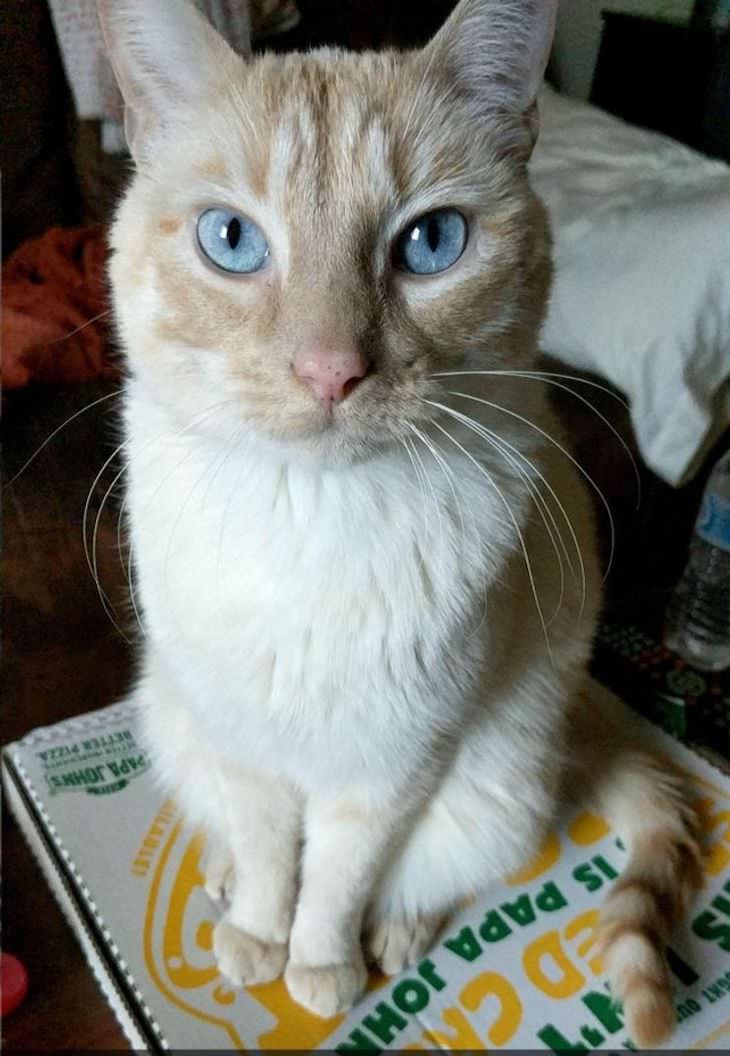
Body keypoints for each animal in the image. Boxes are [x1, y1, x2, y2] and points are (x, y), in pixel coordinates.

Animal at [99, 0, 705, 1043]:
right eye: (232, 240)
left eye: (431, 244)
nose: (330, 371)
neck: (309, 517)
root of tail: (582, 725)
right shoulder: (242, 740)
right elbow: (270, 854)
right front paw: (256, 937)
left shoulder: (390, 766)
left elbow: (337, 881)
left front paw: (320, 969)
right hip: (170, 715)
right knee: (225, 826)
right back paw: (224, 886)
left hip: (493, 786)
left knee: (434, 875)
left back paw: (396, 935)